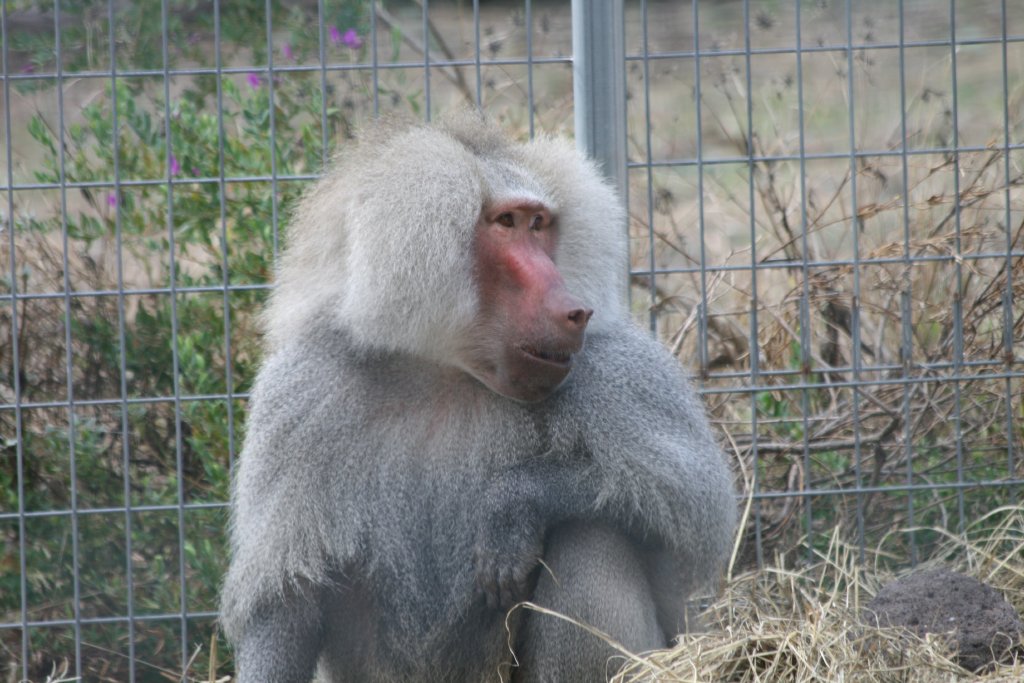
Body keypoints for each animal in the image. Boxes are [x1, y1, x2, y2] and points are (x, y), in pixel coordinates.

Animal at [219, 111, 736, 682]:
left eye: (539, 224)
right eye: (507, 222)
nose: (576, 311)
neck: (446, 372)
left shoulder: (615, 373)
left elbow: (695, 502)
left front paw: (512, 506)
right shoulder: (300, 395)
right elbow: (285, 599)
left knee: (589, 531)